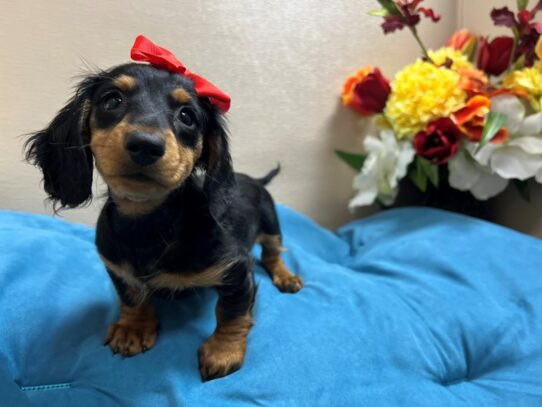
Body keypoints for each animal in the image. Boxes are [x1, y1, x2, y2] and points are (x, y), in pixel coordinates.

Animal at [25, 35, 304, 382]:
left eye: (187, 116)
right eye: (112, 100)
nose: (146, 145)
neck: (149, 221)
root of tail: (254, 178)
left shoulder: (236, 269)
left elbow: (232, 313)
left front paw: (222, 351)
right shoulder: (117, 268)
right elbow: (132, 296)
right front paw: (133, 329)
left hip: (271, 224)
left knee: (272, 253)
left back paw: (286, 276)